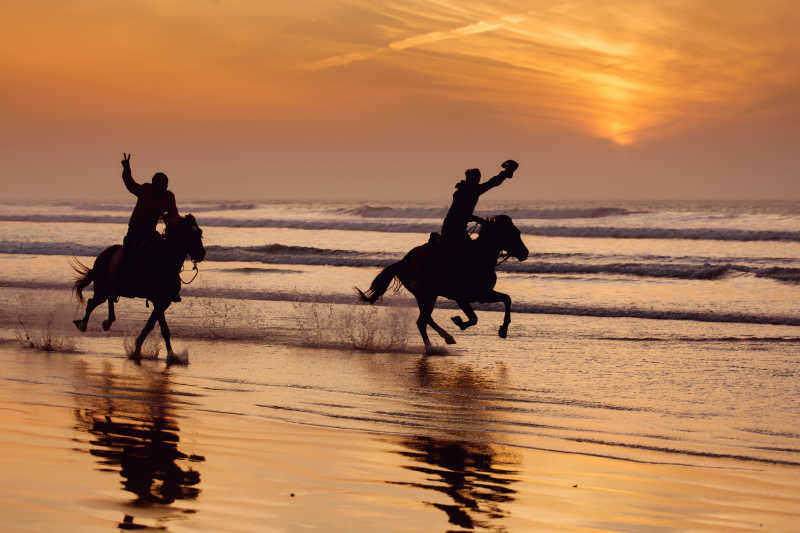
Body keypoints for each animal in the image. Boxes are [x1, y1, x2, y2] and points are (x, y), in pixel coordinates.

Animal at [71, 215, 206, 362]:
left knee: (109, 299)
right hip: (102, 288)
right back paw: (84, 325)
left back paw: (108, 322)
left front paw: (143, 349)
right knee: (92, 303)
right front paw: (166, 354)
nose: (201, 254)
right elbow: (161, 328)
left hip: (110, 288)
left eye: (200, 233)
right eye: (191, 235)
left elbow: (153, 325)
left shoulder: (164, 302)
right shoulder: (158, 301)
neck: (166, 262)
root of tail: (103, 255)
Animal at [356, 214, 524, 352]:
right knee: (422, 321)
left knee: (425, 319)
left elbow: (506, 299)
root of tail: (403, 263)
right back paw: (434, 347)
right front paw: (459, 322)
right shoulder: (464, 298)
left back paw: (446, 339)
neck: (478, 257)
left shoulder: (483, 294)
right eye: (514, 233)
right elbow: (474, 318)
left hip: (426, 296)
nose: (525, 253)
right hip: (428, 295)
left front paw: (503, 330)